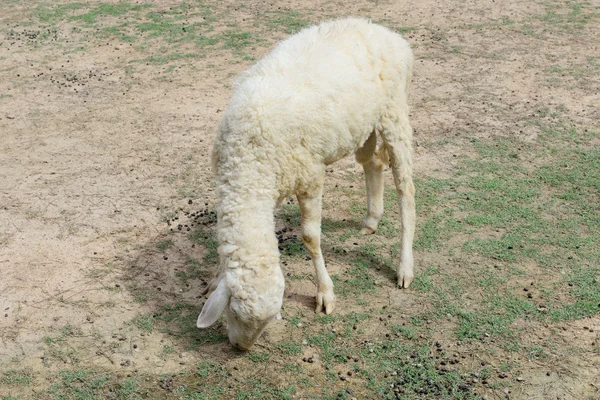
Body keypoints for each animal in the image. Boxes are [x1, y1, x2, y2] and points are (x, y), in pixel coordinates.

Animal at [195, 18, 414, 350]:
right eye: (233, 312)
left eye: (266, 323)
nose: (240, 348)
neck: (249, 160)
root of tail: (384, 31)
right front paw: (215, 277)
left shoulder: (310, 177)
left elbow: (311, 237)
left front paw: (325, 293)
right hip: (363, 123)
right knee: (372, 162)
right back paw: (372, 219)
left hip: (394, 112)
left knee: (405, 188)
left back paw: (405, 268)